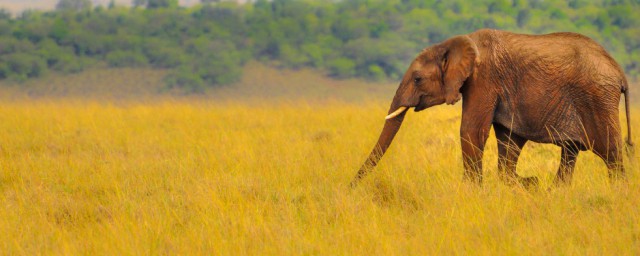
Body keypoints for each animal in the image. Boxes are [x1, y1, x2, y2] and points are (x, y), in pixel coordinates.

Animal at [352, 29, 632, 187]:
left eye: (418, 79)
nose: (351, 186)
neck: (454, 44)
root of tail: (620, 72)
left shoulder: (484, 79)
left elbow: (471, 131)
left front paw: (472, 191)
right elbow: (509, 139)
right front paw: (525, 183)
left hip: (598, 99)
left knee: (611, 153)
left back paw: (618, 192)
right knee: (571, 151)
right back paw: (556, 190)